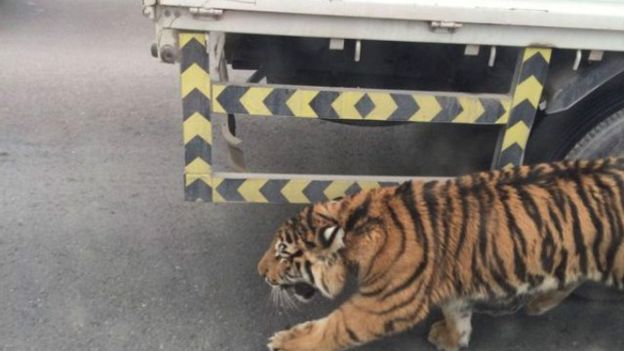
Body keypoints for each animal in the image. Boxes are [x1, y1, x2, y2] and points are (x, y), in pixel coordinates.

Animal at [256, 158, 624, 350]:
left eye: (283, 254)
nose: (260, 272)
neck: (357, 221)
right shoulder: (453, 285)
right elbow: (457, 314)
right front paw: (450, 338)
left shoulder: (382, 306)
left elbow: (331, 328)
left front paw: (286, 342)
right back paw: (538, 303)